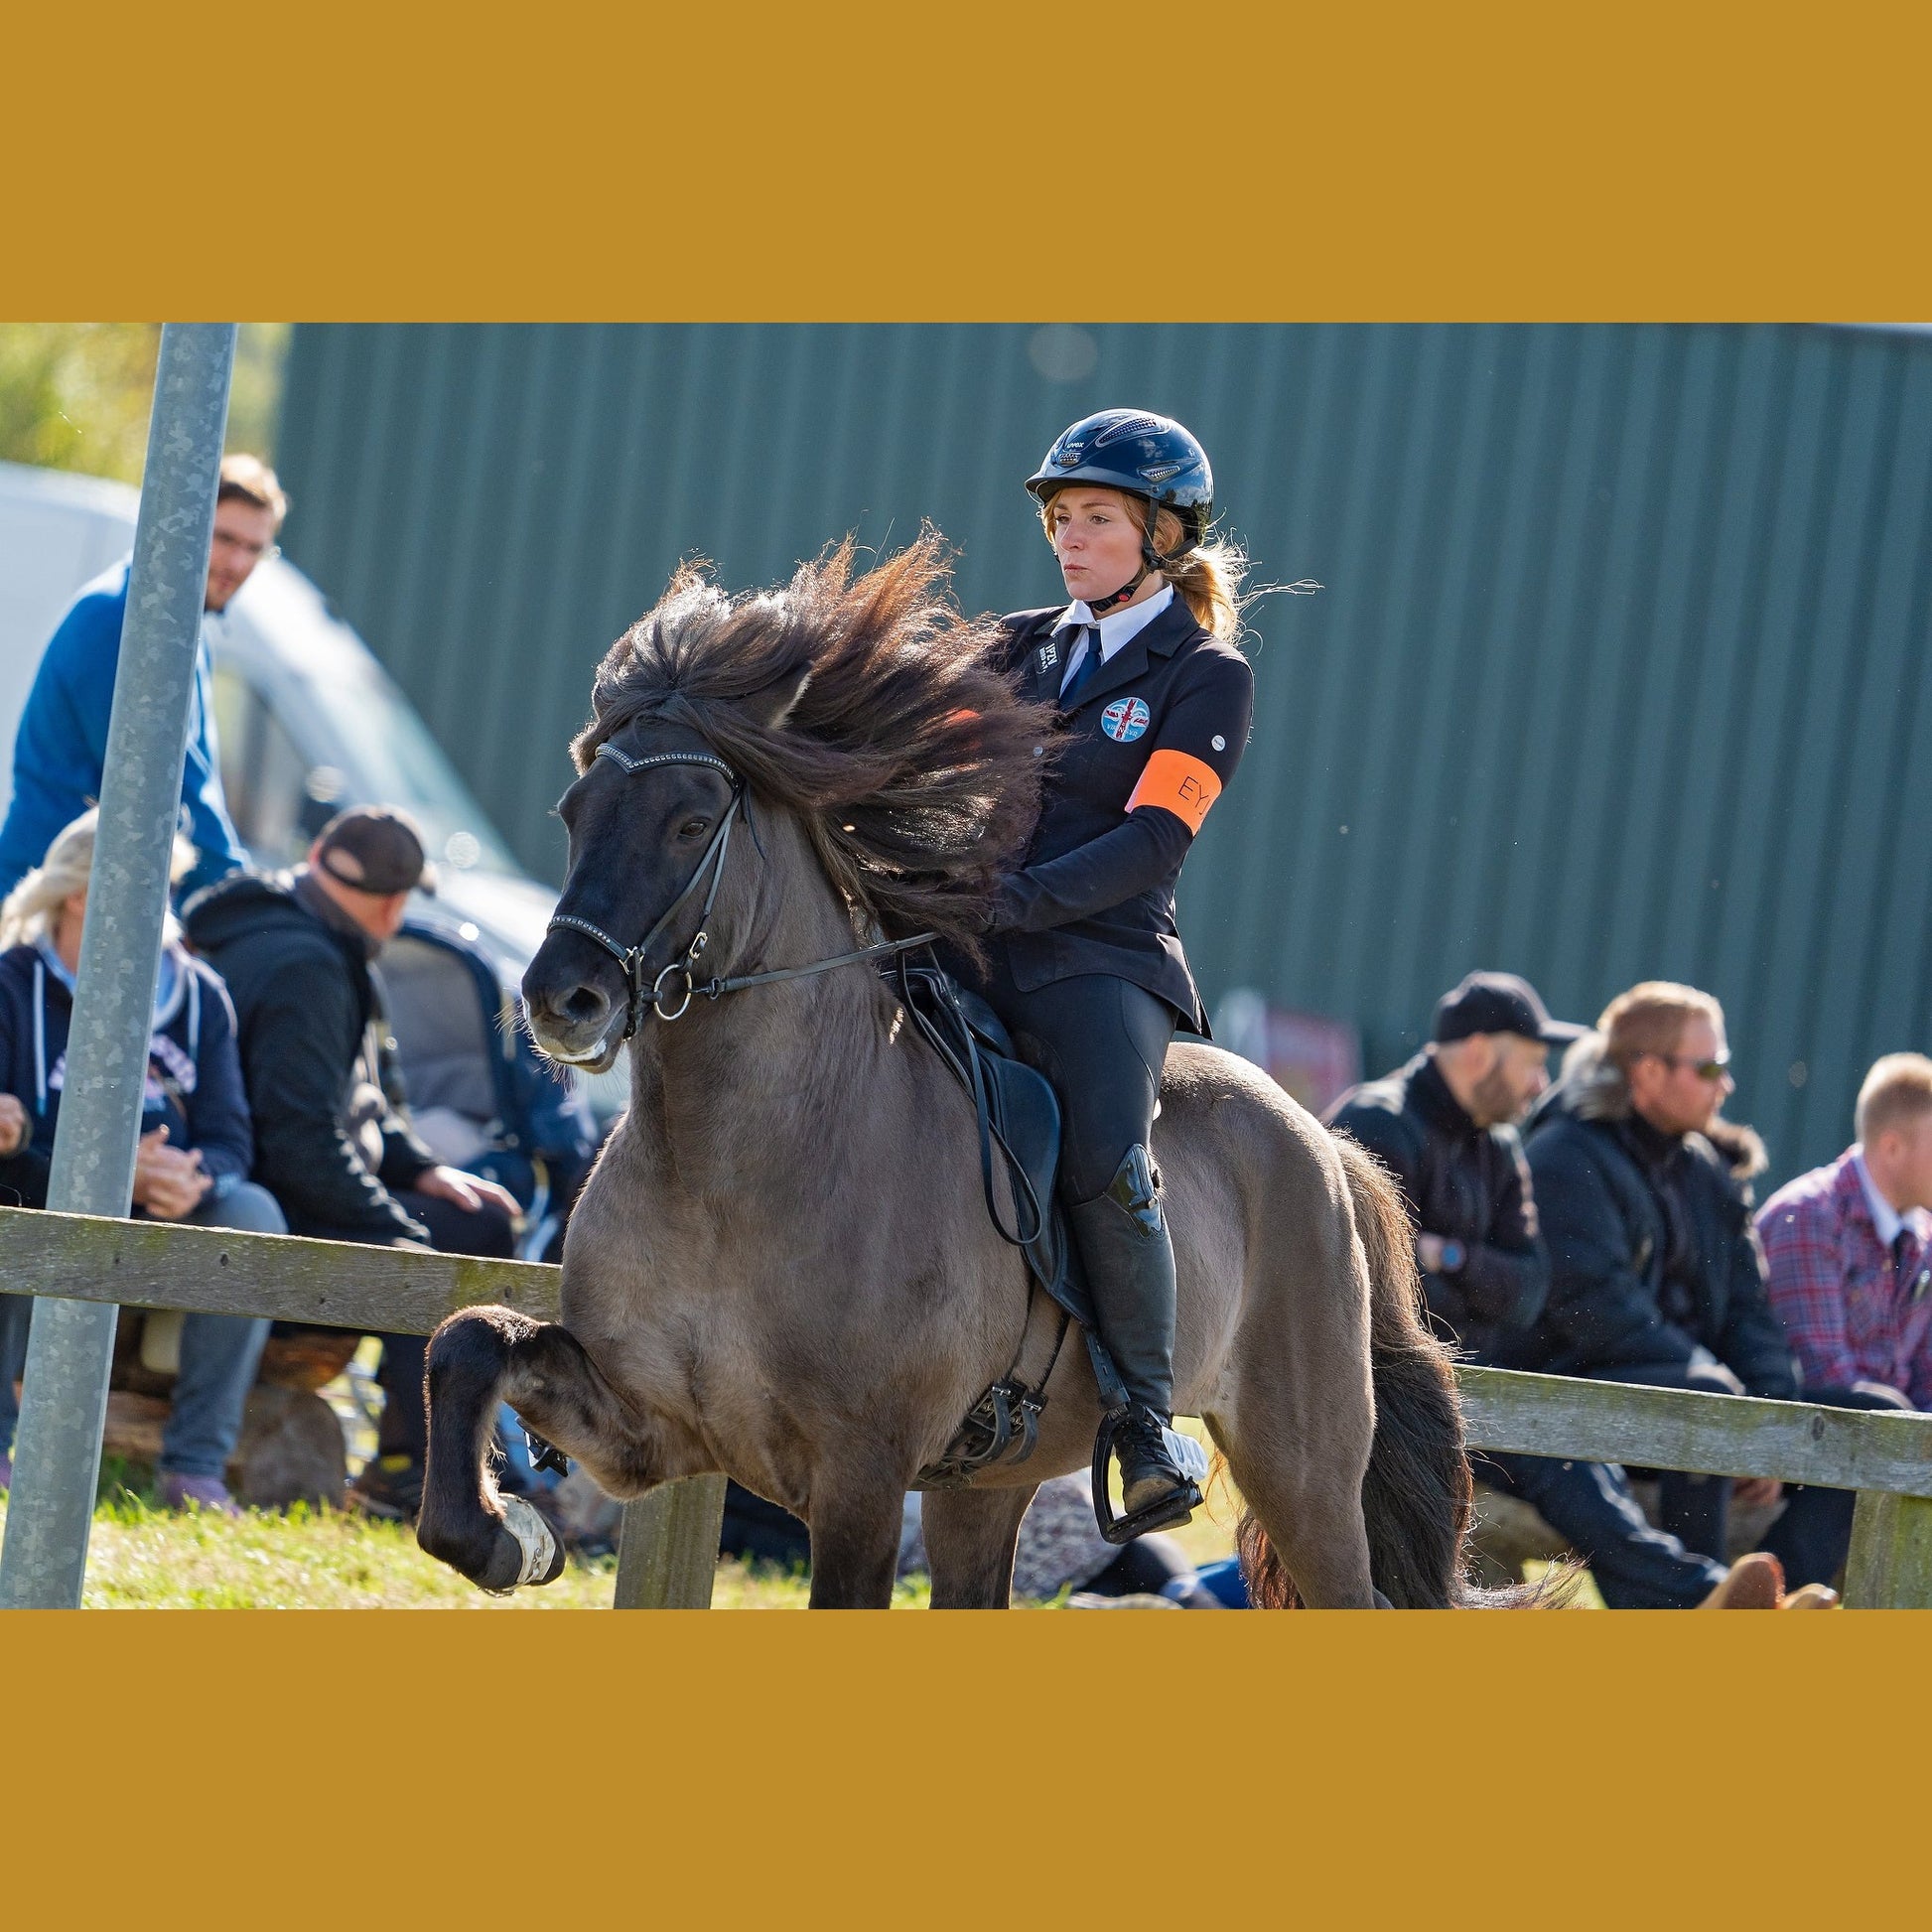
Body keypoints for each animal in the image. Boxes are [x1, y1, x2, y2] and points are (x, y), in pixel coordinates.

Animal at [423, 536, 1475, 1607]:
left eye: (689, 821)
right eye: (575, 809)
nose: (561, 999)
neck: (725, 1166)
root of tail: (1321, 1140)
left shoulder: (860, 1476)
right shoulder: (653, 1428)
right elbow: (468, 1338)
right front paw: (504, 1537)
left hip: (1301, 1469)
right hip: (988, 1485)